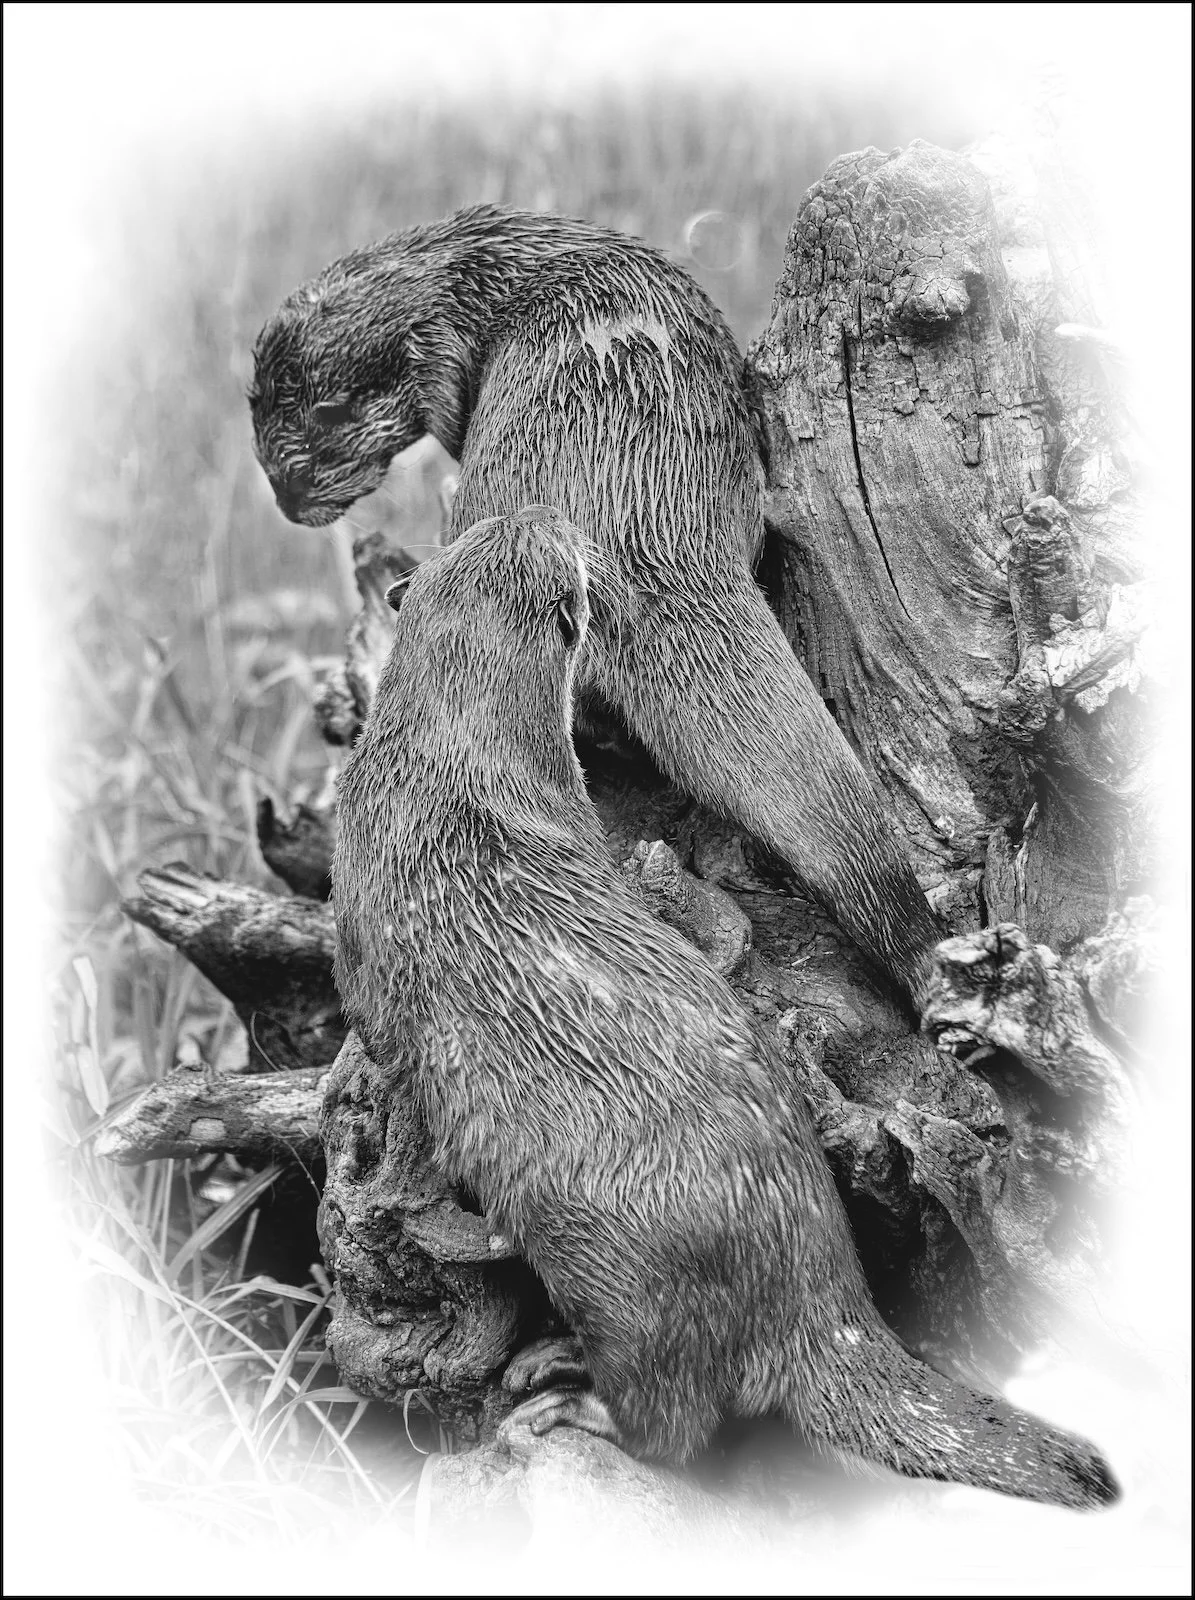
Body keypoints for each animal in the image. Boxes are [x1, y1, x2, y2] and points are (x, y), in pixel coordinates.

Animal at [330, 505, 1118, 1509]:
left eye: (550, 542)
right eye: (490, 530)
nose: (553, 513)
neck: (440, 768)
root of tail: (826, 1308)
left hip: (622, 1276)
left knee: (675, 1421)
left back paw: (570, 1394)